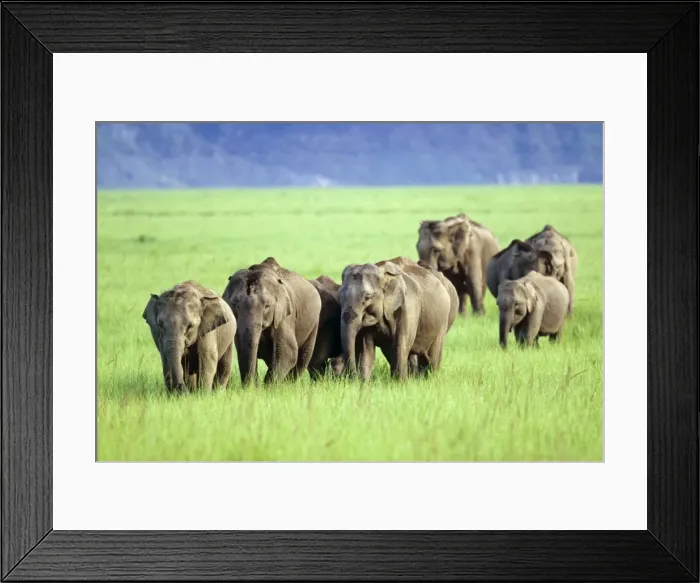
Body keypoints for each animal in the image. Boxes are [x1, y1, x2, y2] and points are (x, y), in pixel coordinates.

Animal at [222, 257, 322, 386]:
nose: (250, 386)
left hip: (314, 322)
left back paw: (288, 385)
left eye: (267, 306)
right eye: (235, 305)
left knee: (303, 358)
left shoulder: (284, 316)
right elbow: (242, 349)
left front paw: (269, 388)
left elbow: (288, 352)